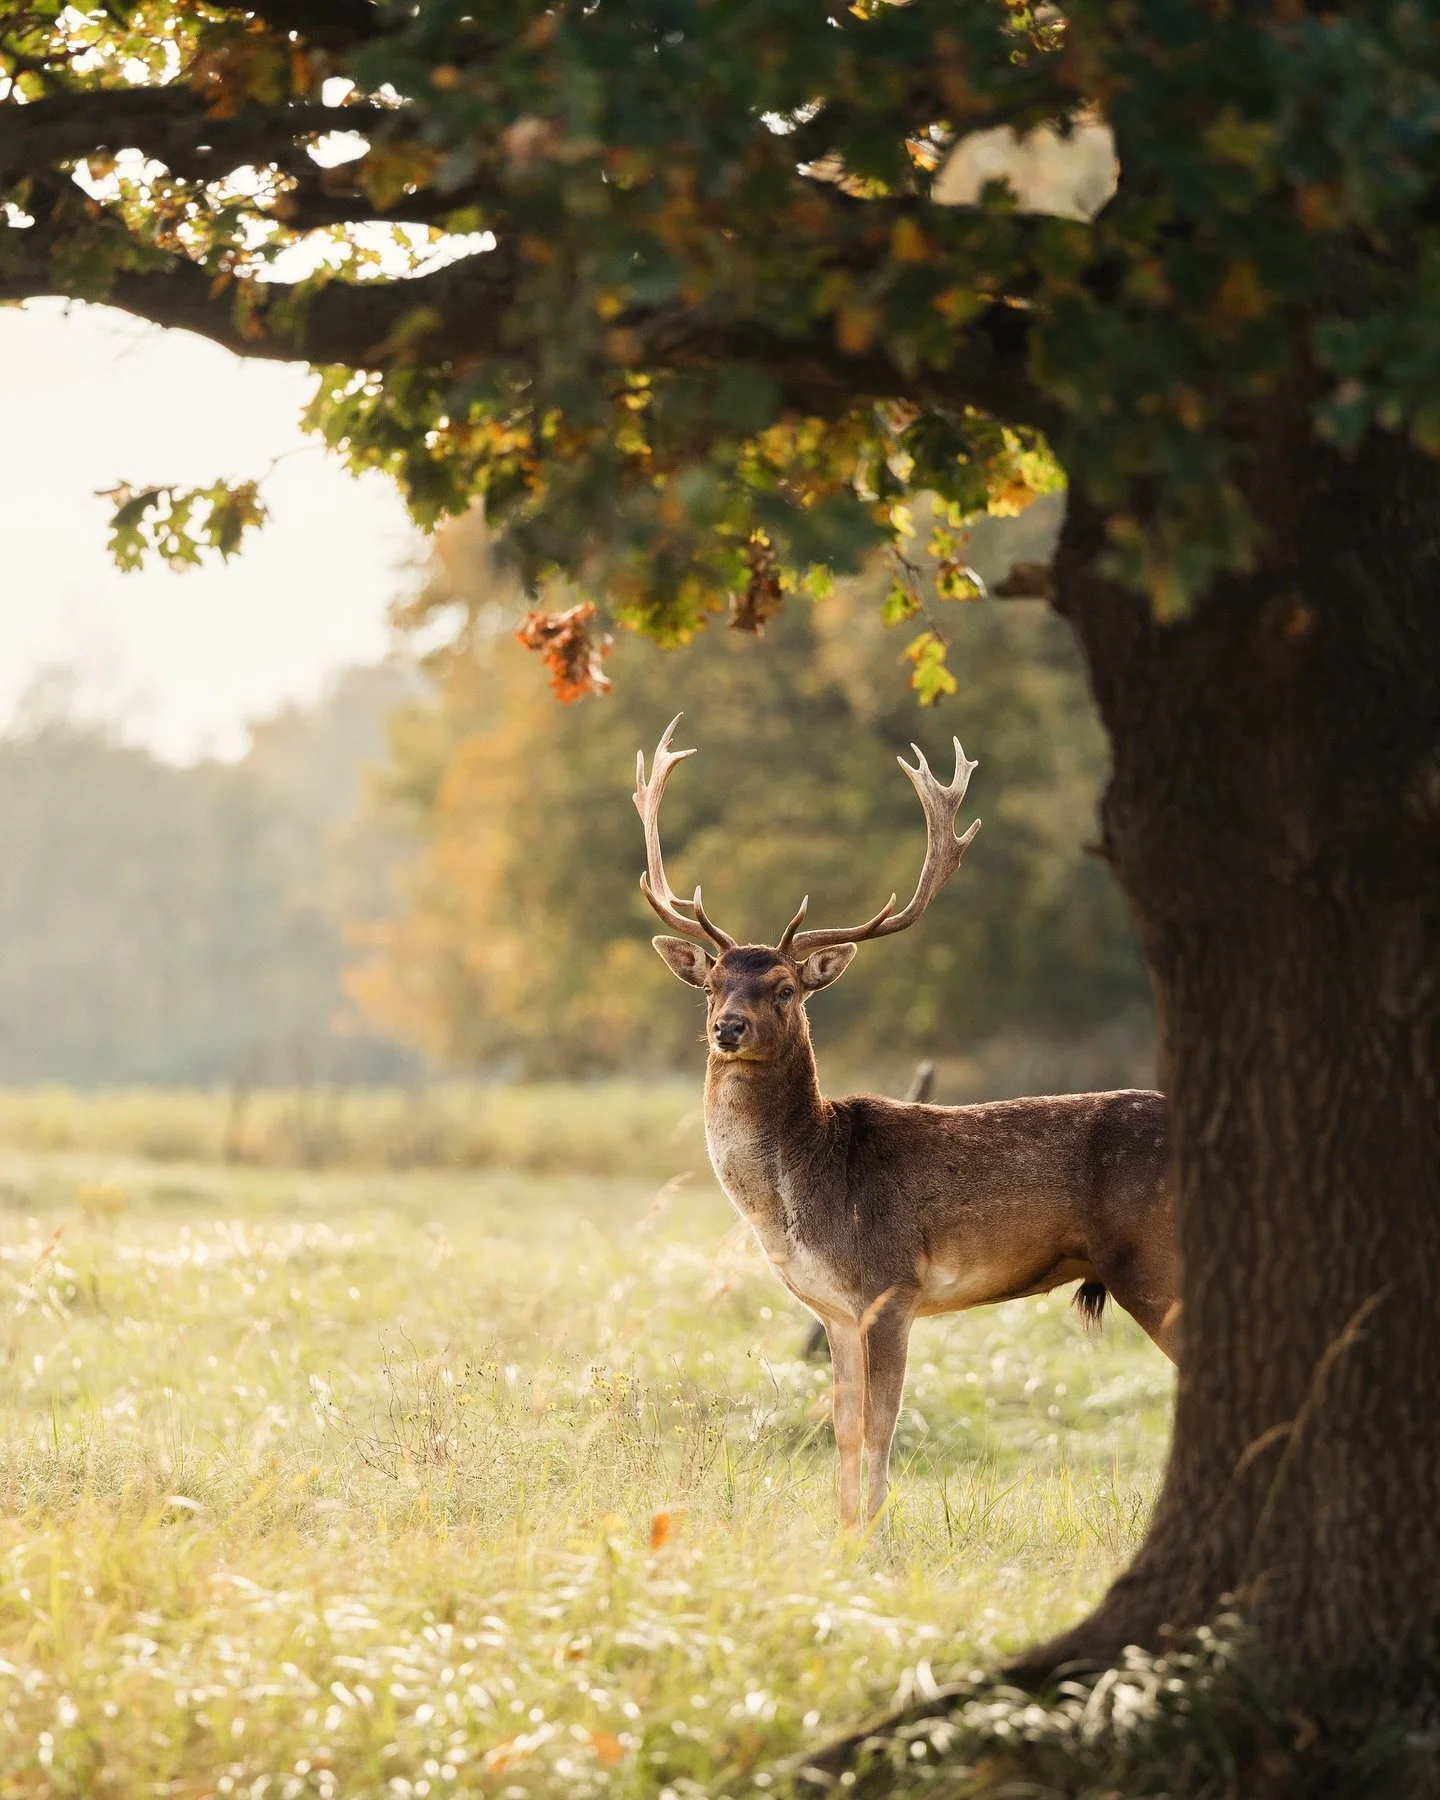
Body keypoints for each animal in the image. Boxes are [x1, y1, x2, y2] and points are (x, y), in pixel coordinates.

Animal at [635, 716, 1179, 1528]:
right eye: (711, 985)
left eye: (785, 987)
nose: (727, 1028)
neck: (803, 1197)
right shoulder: (831, 1307)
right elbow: (840, 1423)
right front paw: (842, 1530)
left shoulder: (891, 1285)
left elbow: (880, 1423)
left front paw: (876, 1534)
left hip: (1155, 1257)